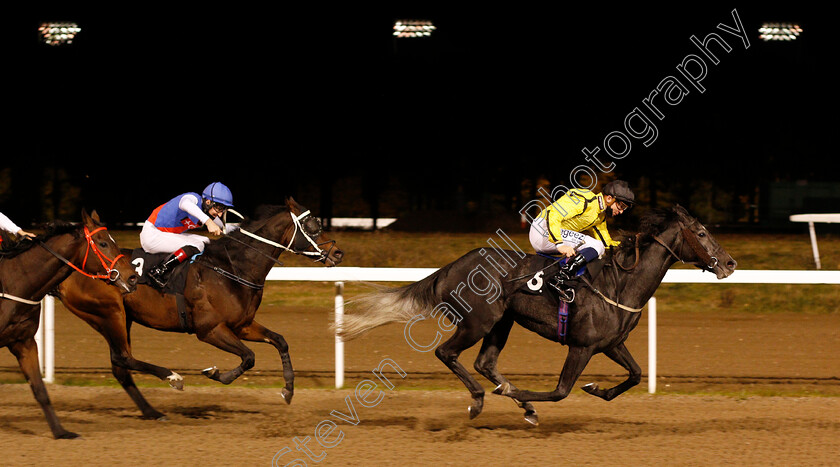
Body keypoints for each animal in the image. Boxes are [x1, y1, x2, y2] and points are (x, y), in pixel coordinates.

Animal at [0, 210, 137, 440]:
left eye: (114, 241)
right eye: (102, 243)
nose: (133, 277)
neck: (14, 283)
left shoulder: (24, 342)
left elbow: (40, 390)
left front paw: (61, 432)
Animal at [56, 197, 344, 420]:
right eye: (312, 225)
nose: (338, 253)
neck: (231, 268)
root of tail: (72, 270)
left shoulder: (242, 325)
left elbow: (280, 341)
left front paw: (288, 390)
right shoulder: (209, 329)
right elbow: (249, 357)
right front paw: (215, 373)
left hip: (122, 318)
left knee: (120, 367)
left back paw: (151, 411)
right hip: (109, 314)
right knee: (121, 358)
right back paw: (172, 379)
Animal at [340, 207, 736, 426]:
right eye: (702, 233)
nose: (730, 263)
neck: (620, 284)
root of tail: (449, 268)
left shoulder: (610, 343)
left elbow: (636, 375)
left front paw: (595, 389)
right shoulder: (581, 346)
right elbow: (560, 392)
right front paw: (518, 394)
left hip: (501, 323)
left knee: (485, 362)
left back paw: (516, 401)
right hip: (477, 322)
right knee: (446, 353)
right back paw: (480, 399)